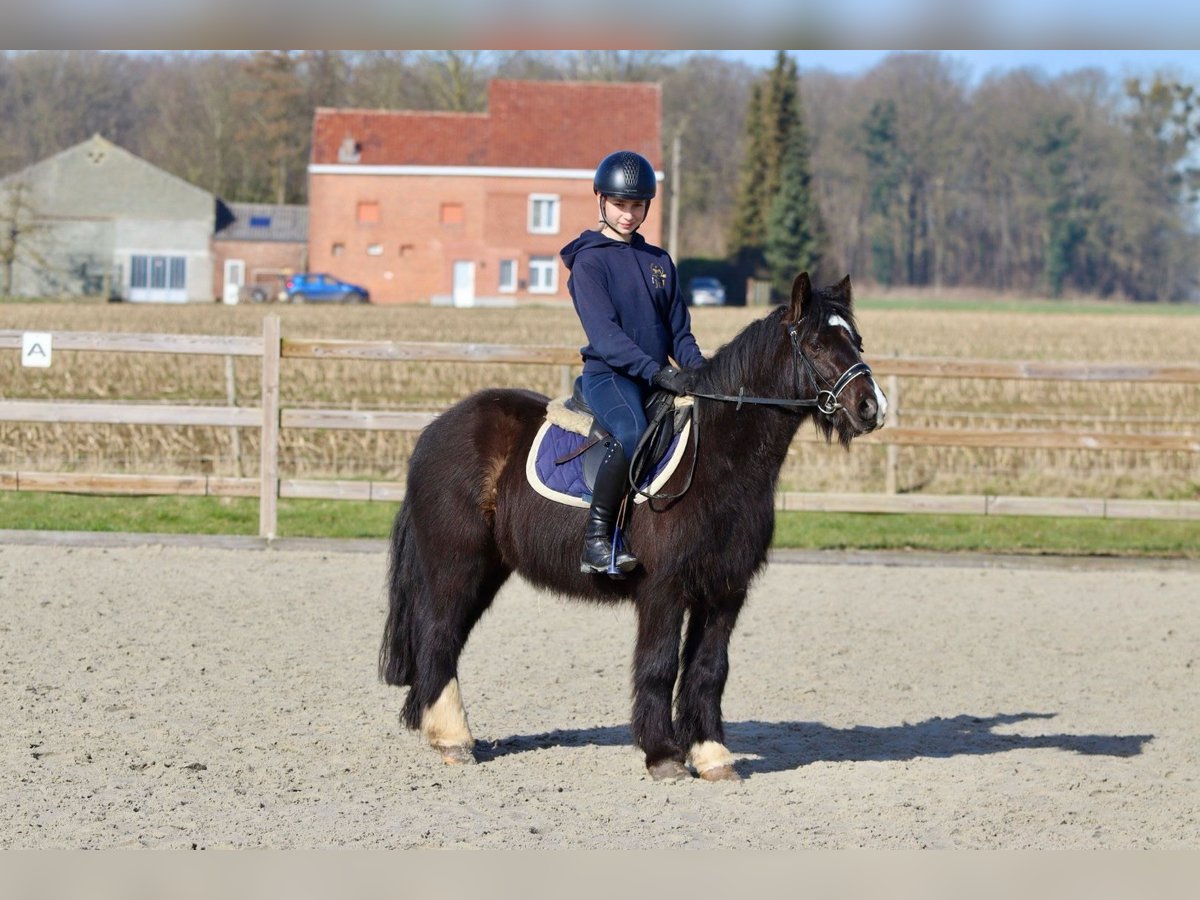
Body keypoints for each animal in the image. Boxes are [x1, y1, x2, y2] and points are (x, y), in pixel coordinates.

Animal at [379, 273, 888, 782]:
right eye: (817, 344)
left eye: (857, 341)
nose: (872, 407)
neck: (719, 457)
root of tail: (436, 430)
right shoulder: (663, 588)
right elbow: (659, 665)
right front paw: (664, 755)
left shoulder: (725, 589)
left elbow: (709, 670)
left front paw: (712, 755)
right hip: (456, 562)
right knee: (439, 635)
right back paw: (455, 740)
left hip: (487, 569)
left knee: (445, 639)